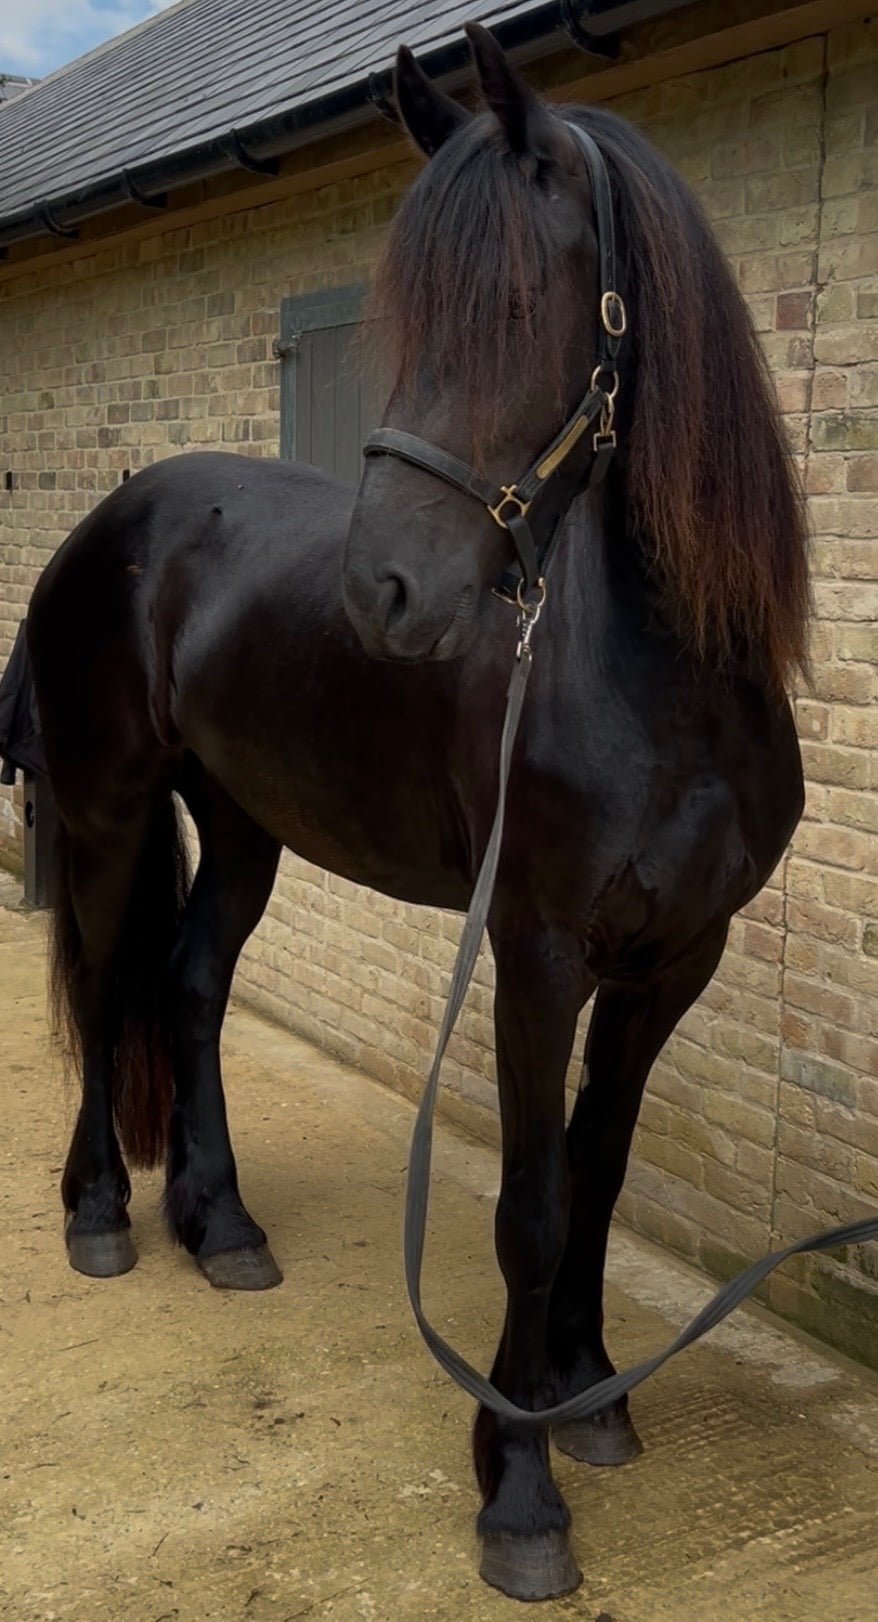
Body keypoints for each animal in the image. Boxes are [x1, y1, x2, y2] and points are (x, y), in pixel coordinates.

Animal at [25, 24, 809, 1603]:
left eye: (523, 306)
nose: (377, 595)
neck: (665, 688)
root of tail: (115, 519)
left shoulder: (673, 958)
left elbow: (600, 1165)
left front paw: (587, 1394)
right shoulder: (535, 951)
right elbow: (531, 1200)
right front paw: (518, 1484)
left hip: (243, 825)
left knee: (187, 987)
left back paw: (222, 1225)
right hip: (111, 812)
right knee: (110, 977)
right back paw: (99, 1216)